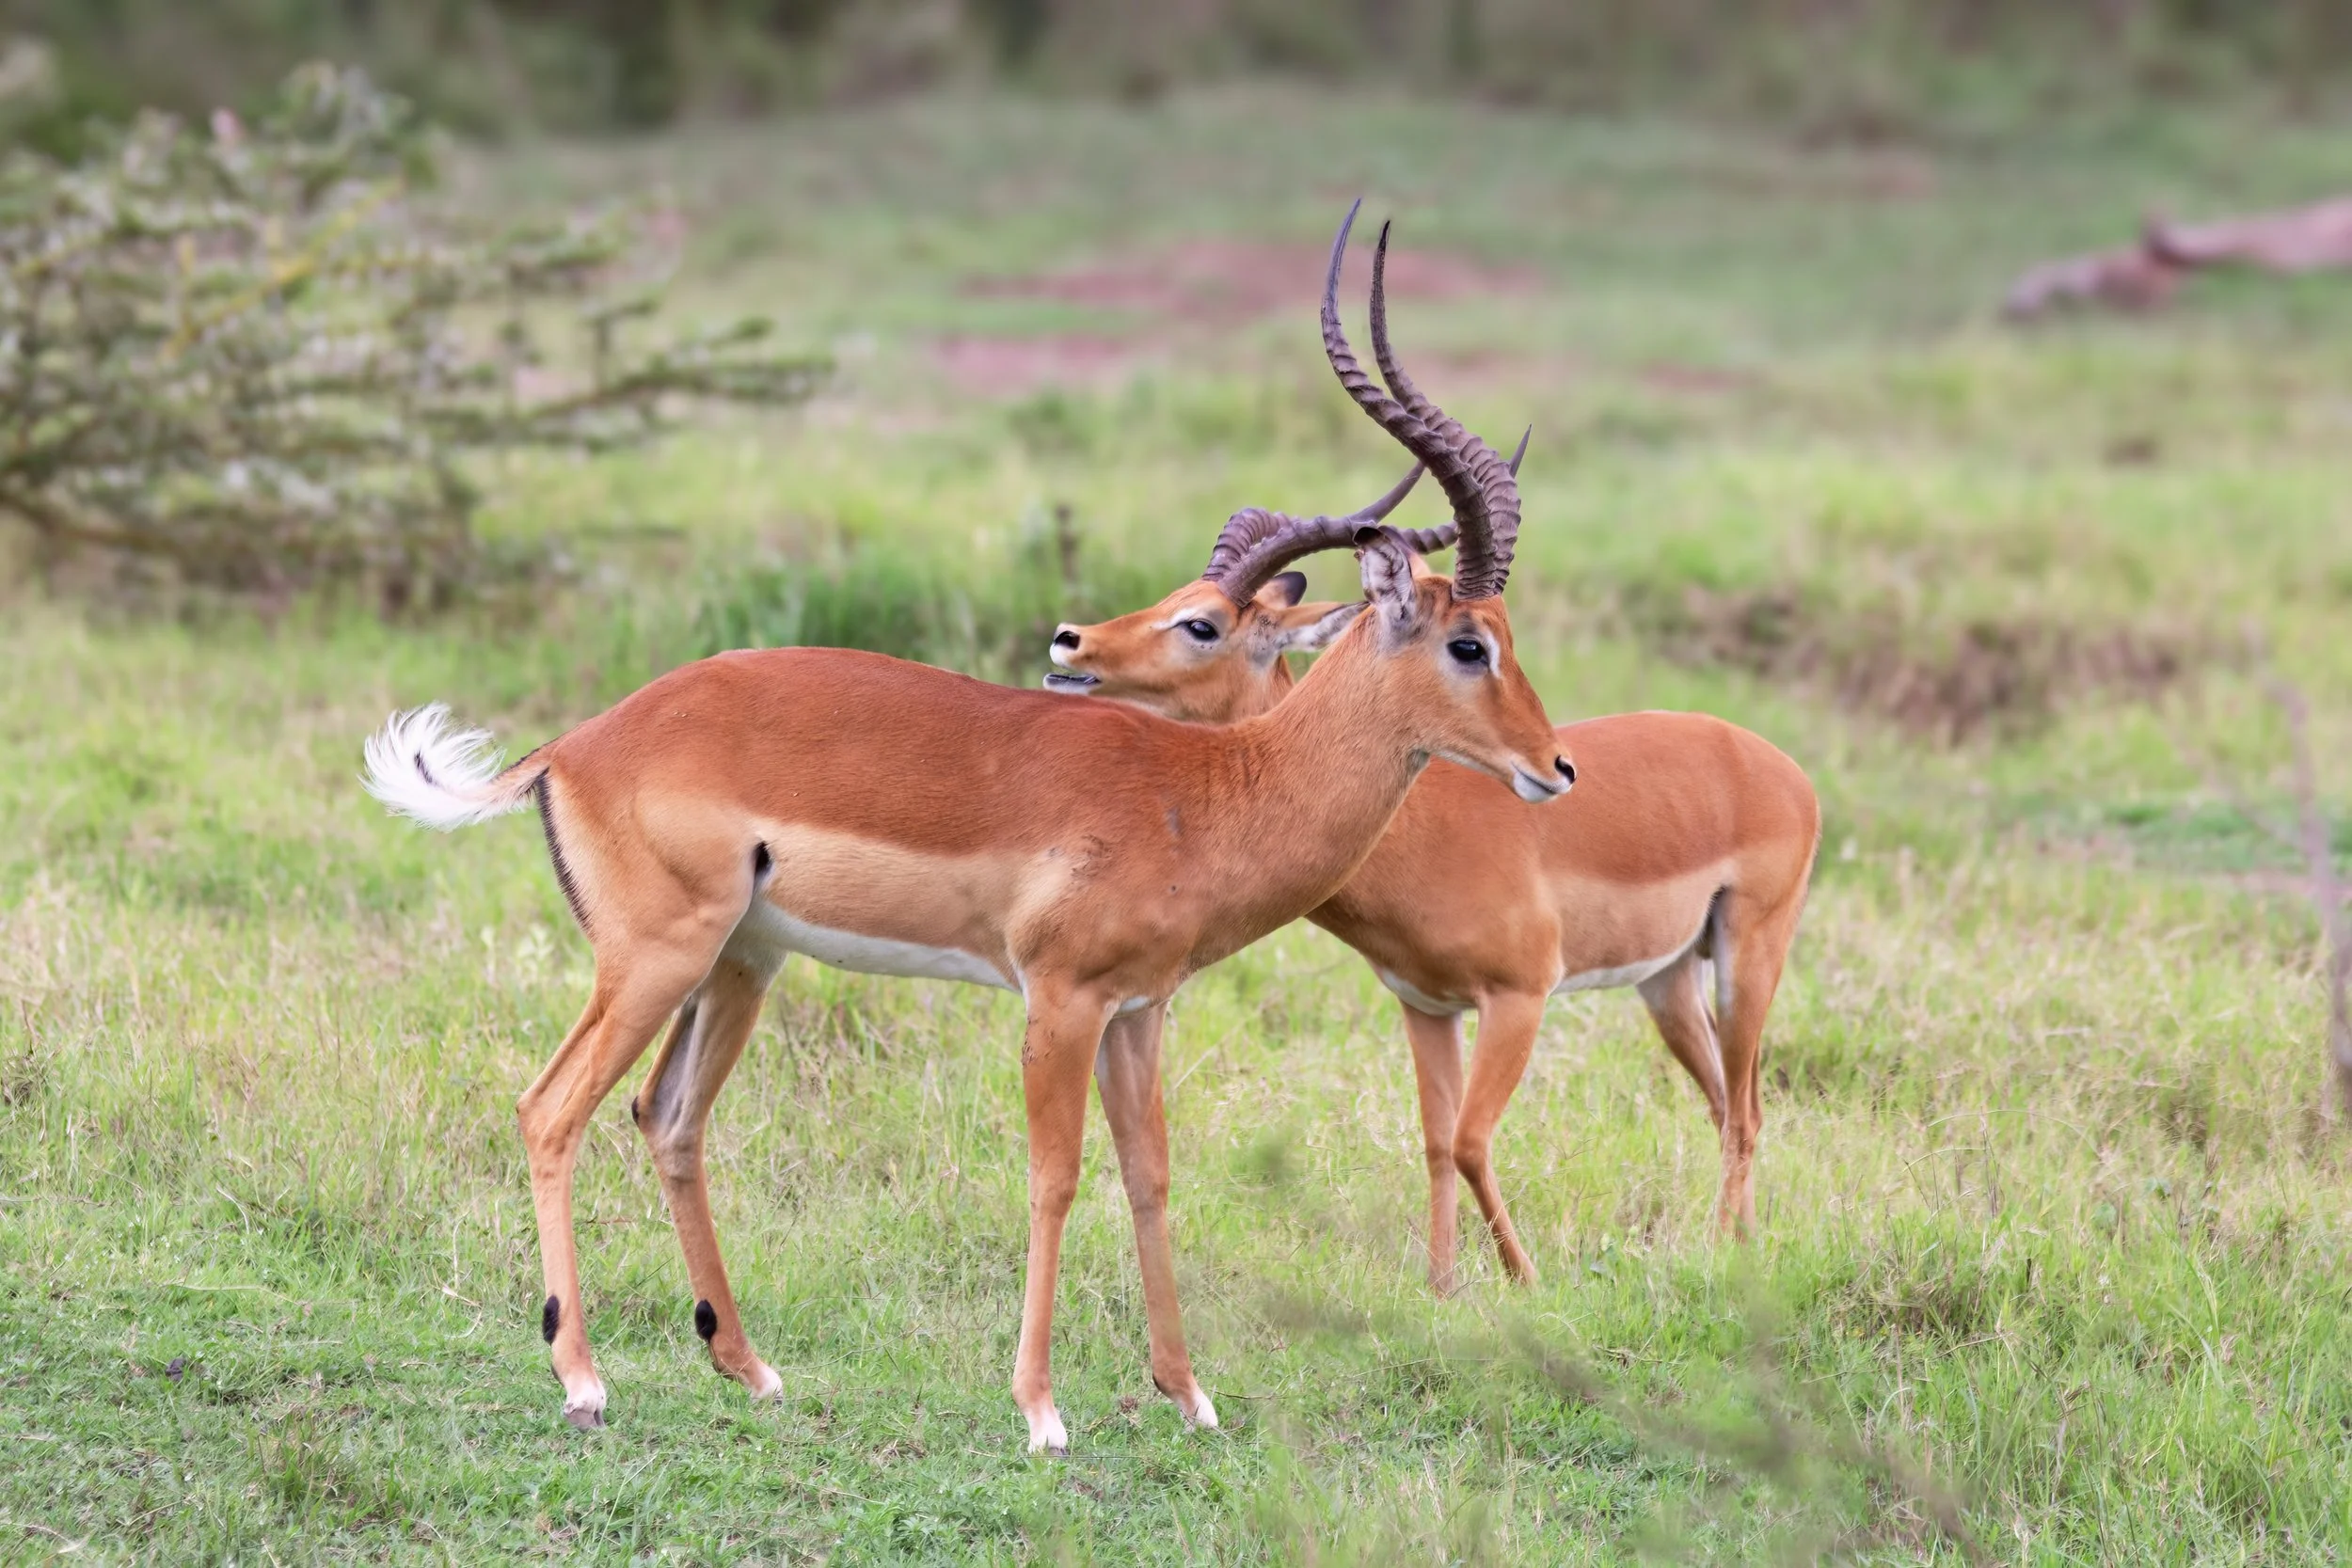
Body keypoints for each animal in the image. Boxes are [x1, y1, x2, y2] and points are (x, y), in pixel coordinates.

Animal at [360, 203, 1572, 1451]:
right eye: (1468, 642)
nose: (1555, 767)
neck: (1206, 788)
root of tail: (575, 744)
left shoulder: (1139, 1011)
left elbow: (1151, 1173)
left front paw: (1188, 1393)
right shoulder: (1060, 999)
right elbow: (1055, 1173)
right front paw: (1040, 1408)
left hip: (739, 961)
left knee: (668, 1114)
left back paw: (750, 1366)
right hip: (654, 957)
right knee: (551, 1107)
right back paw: (584, 1376)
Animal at [1046, 231, 1820, 1290]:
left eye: (1202, 623)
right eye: (1470, 642)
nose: (1069, 640)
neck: (1414, 835)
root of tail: (1773, 761)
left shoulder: (1520, 997)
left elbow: (1471, 1139)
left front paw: (1525, 1283)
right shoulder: (1425, 1005)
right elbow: (1432, 1140)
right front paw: (1445, 1286)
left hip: (1748, 956)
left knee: (1744, 1108)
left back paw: (1727, 1261)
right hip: (1667, 981)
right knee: (1726, 1105)